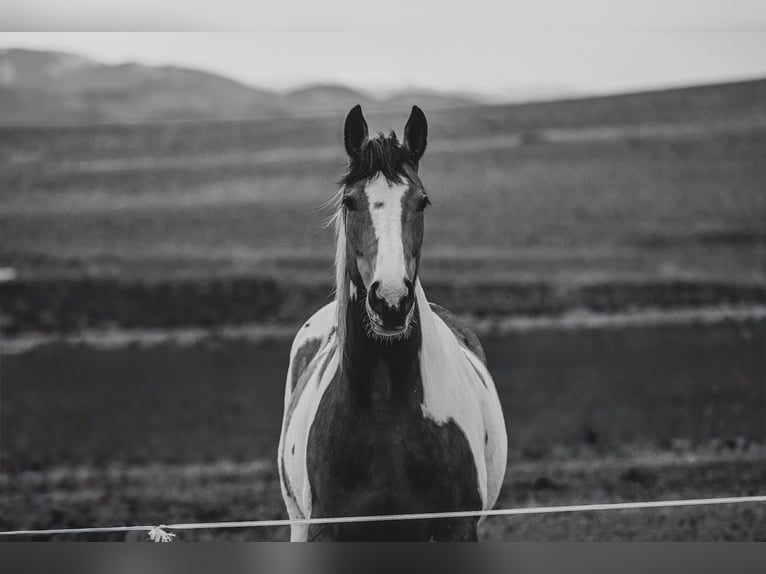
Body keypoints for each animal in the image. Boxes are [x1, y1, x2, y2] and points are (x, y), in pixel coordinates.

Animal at [277, 105, 507, 541]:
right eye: (350, 201)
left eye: (421, 201)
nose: (391, 301)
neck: (386, 407)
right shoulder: (327, 530)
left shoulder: (456, 527)